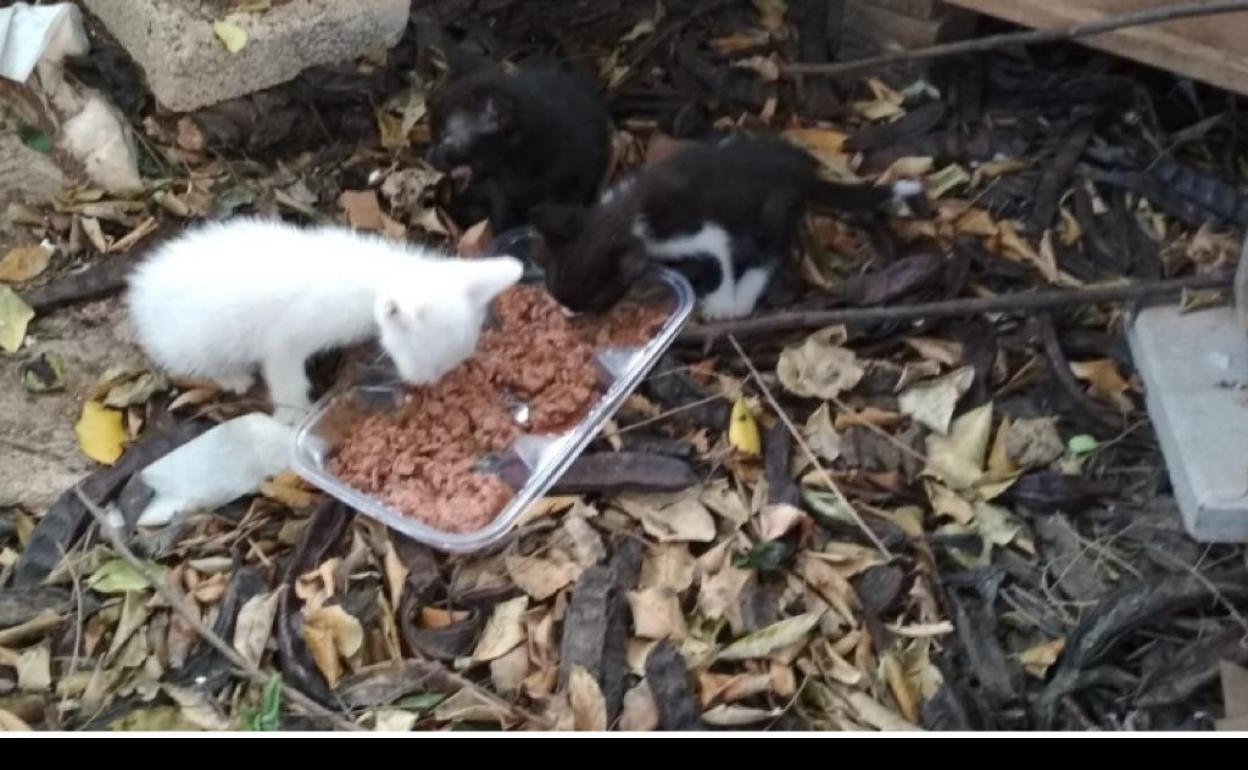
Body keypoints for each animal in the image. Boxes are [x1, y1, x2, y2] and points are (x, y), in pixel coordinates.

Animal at [124, 214, 519, 419]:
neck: (374, 281)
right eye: (424, 359)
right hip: (200, 342)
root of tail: (141, 291)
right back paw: (235, 378)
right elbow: (287, 382)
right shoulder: (283, 344)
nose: (425, 384)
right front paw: (294, 417)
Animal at [521, 135, 923, 318]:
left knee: (769, 252)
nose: (567, 313)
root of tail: (802, 176)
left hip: (771, 208)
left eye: (594, 302)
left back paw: (743, 298)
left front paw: (724, 301)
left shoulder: (697, 230)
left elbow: (725, 257)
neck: (626, 210)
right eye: (551, 284)